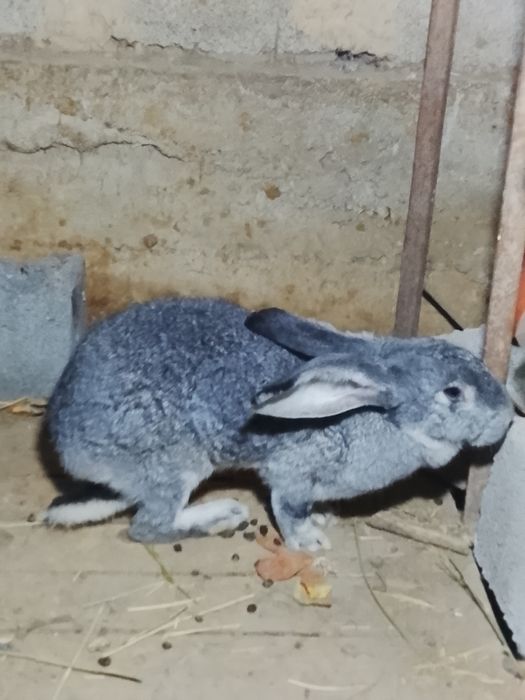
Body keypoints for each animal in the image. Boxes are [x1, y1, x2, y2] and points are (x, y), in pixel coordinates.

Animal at [43, 297, 514, 551]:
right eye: (453, 393)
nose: (506, 415)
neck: (380, 416)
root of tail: (68, 444)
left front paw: (322, 520)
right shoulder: (292, 474)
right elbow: (288, 507)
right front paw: (308, 540)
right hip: (176, 465)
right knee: (148, 526)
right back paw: (221, 516)